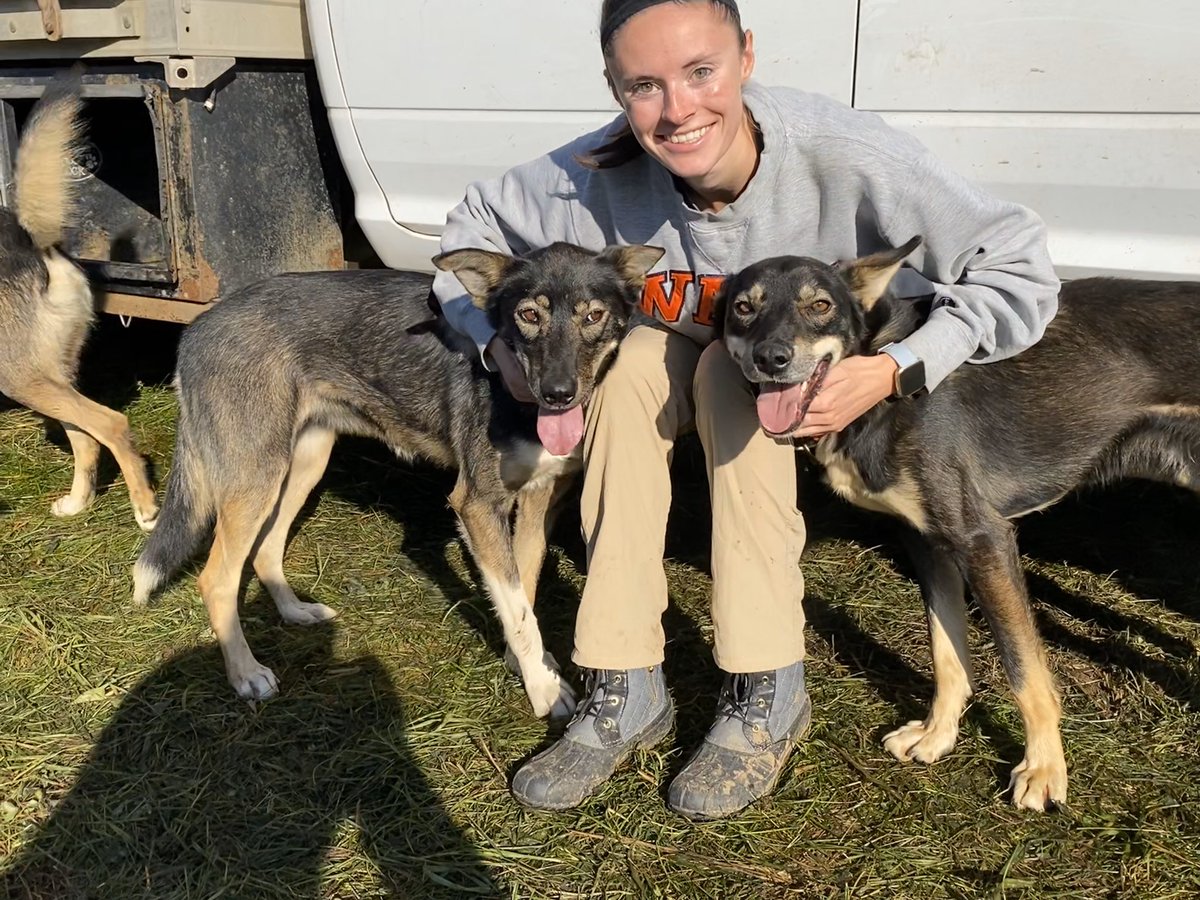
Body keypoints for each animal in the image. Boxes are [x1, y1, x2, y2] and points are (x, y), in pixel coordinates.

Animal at [0, 82, 158, 535]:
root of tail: (36, 248)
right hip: (53, 376)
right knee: (87, 439)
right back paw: (77, 504)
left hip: (20, 378)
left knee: (110, 425)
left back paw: (146, 510)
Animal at [135, 241, 662, 720]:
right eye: (529, 315)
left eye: (593, 316)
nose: (558, 394)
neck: (517, 397)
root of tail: (197, 329)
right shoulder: (477, 504)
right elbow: (517, 610)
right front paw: (545, 691)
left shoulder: (535, 505)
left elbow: (523, 597)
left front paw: (528, 665)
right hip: (255, 474)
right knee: (216, 578)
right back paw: (246, 674)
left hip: (302, 463)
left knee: (266, 547)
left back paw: (295, 612)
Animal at [715, 237, 1200, 811]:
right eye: (744, 308)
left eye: (820, 305)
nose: (771, 358)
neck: (883, 388)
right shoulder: (928, 544)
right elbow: (947, 653)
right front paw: (937, 734)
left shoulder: (983, 540)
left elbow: (1024, 670)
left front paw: (1044, 768)